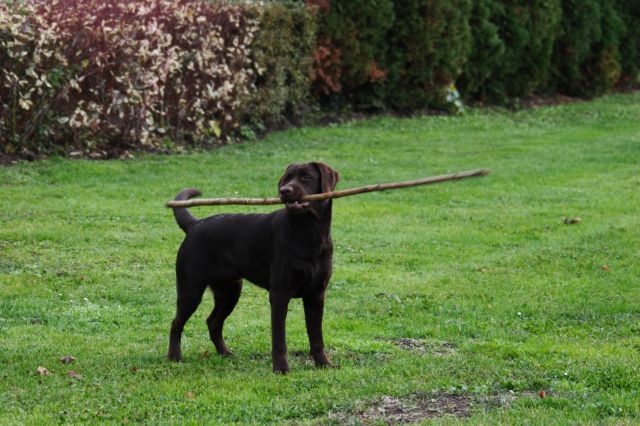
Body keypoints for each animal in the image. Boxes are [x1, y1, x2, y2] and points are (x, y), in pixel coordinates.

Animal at [167, 162, 339, 373]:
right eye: (287, 178)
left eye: (306, 178)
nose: (284, 190)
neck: (308, 234)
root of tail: (195, 224)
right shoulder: (280, 294)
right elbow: (279, 340)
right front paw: (281, 369)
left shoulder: (316, 294)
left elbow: (316, 337)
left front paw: (324, 363)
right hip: (191, 290)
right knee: (176, 323)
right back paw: (174, 357)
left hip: (230, 291)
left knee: (213, 322)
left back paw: (225, 353)